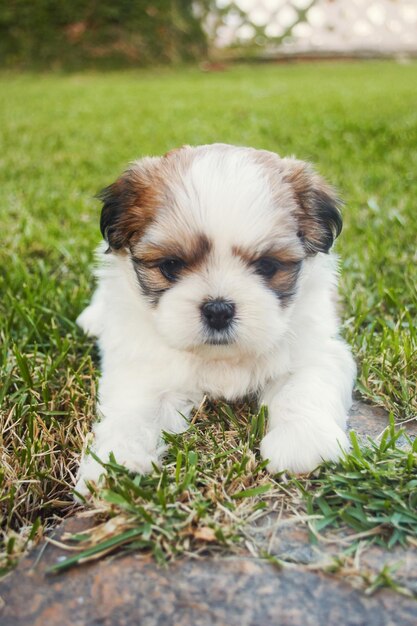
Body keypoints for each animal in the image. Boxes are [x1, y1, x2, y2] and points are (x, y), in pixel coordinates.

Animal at [75, 141, 354, 492]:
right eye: (171, 266)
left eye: (267, 266)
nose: (218, 309)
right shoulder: (143, 368)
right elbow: (133, 411)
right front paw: (117, 462)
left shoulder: (316, 349)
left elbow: (303, 387)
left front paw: (301, 440)